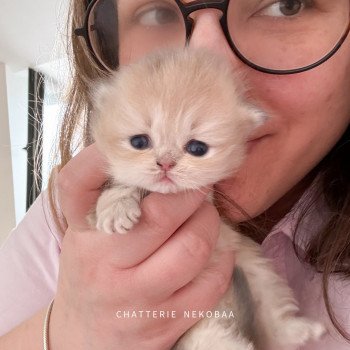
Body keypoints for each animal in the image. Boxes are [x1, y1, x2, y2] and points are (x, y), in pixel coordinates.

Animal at [89, 47, 324, 348]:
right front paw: (116, 209)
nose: (165, 164)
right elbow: (121, 185)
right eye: (139, 142)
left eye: (197, 148)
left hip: (256, 275)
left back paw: (302, 330)